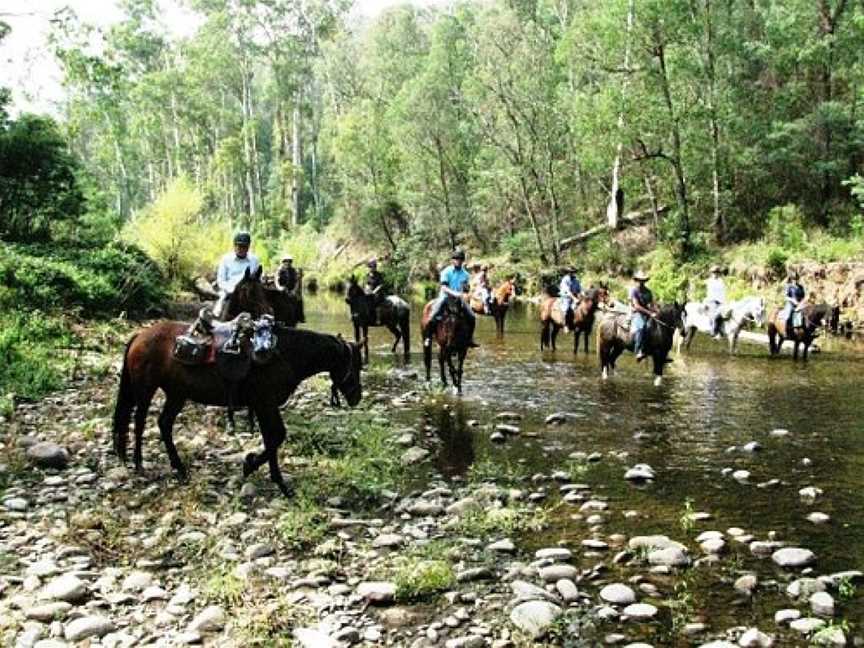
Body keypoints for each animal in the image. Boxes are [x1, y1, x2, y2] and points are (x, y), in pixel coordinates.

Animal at [111, 326, 362, 498]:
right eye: (355, 365)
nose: (356, 397)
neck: (284, 354)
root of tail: (139, 336)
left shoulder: (263, 405)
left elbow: (271, 439)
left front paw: (268, 474)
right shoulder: (265, 403)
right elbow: (276, 436)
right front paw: (256, 468)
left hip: (176, 395)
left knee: (164, 424)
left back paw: (179, 468)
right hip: (146, 390)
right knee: (140, 422)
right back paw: (139, 464)